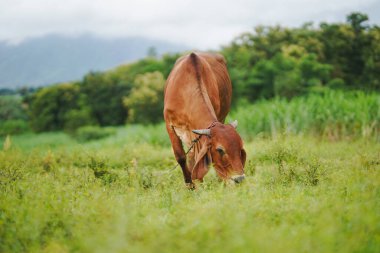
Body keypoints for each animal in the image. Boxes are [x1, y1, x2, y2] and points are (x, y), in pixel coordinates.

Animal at [163, 51, 246, 187]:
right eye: (220, 150)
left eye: (240, 147)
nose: (239, 179)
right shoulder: (169, 124)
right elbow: (180, 156)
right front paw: (190, 185)